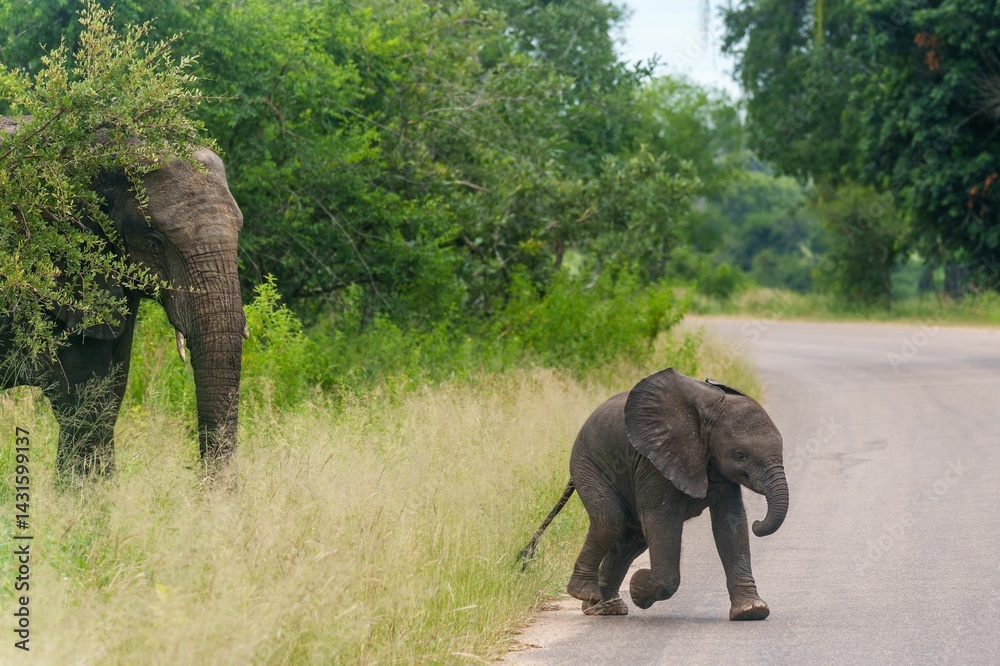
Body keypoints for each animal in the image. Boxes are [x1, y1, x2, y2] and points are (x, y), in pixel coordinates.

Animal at [520, 368, 788, 620]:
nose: (758, 523)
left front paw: (751, 611)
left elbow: (730, 524)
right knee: (610, 522)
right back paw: (585, 593)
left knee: (631, 538)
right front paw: (638, 587)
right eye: (740, 455)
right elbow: (662, 520)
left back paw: (602, 607)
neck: (706, 414)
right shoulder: (654, 462)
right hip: (587, 464)